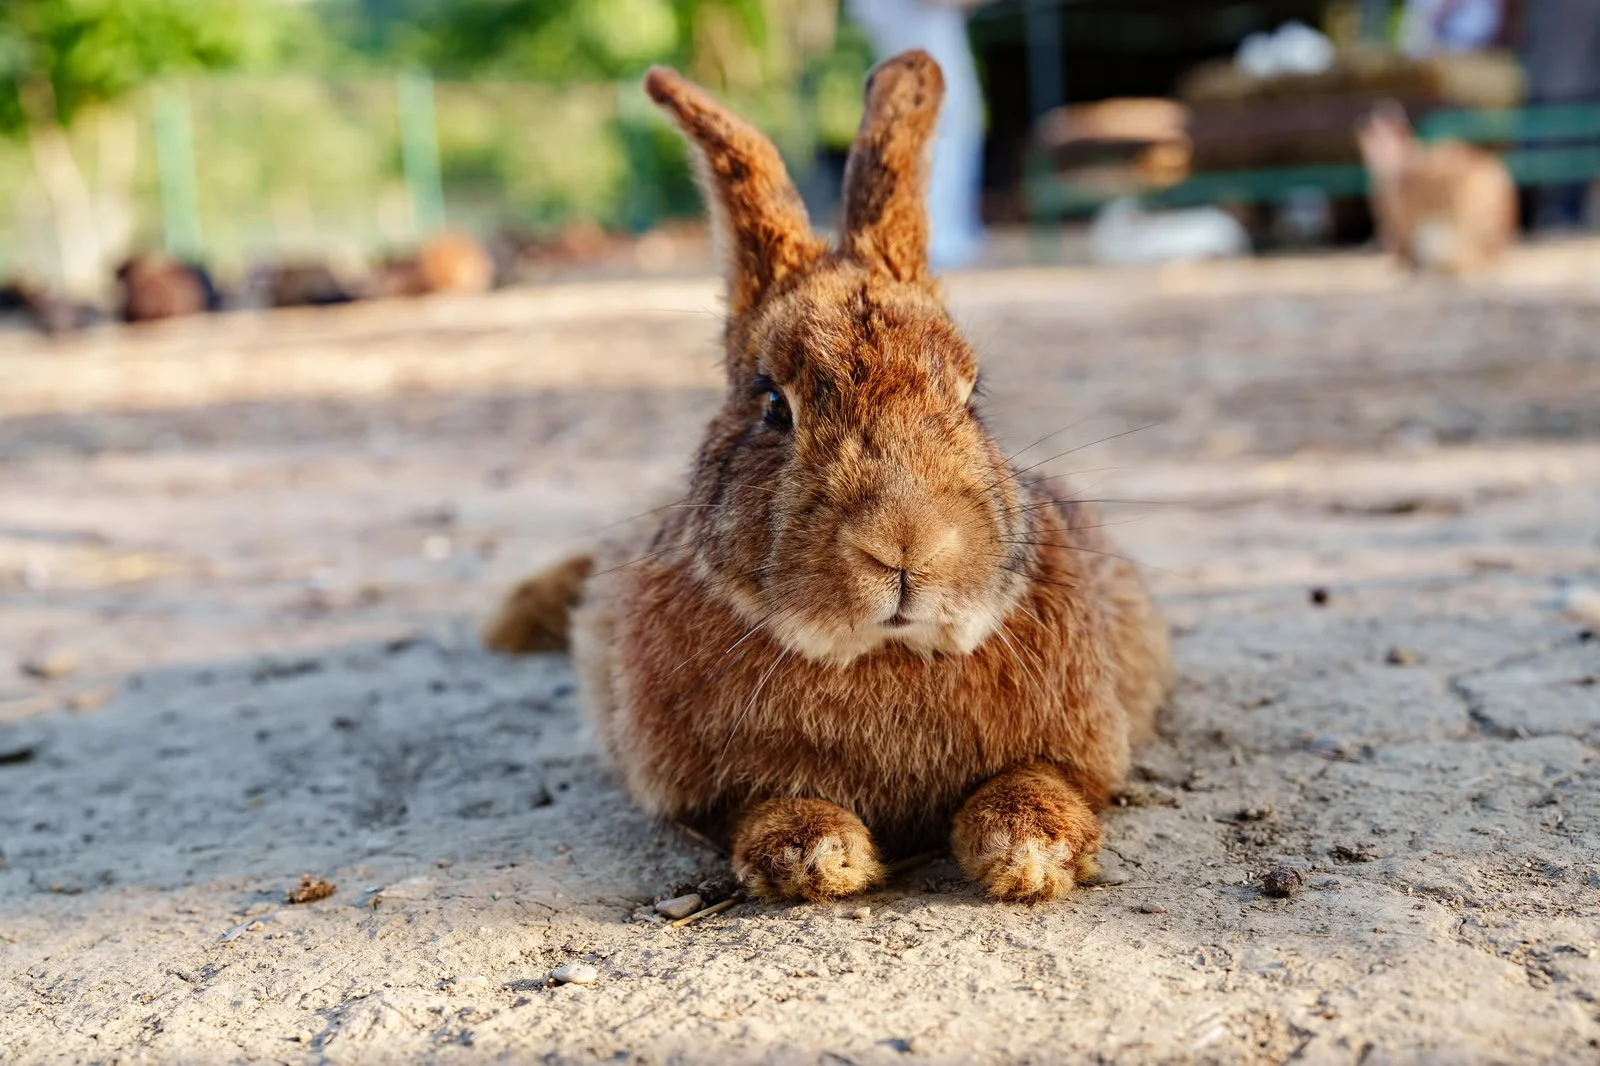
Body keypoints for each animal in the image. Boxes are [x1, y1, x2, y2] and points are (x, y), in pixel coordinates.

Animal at [483, 50, 1172, 904]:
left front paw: (1029, 849)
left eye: (972, 395)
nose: (908, 547)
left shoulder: (1079, 746)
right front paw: (817, 851)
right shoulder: (707, 790)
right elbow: (761, 808)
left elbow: (1040, 782)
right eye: (774, 404)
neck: (882, 652)